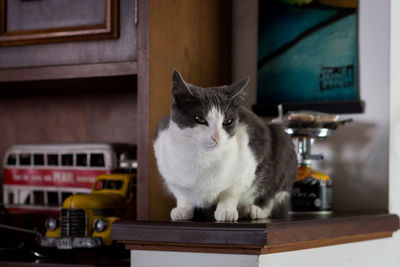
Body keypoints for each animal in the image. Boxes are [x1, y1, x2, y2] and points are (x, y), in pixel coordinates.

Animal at [153, 69, 296, 222]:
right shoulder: (169, 174)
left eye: (227, 122)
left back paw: (254, 210)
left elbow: (230, 192)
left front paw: (226, 211)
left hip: (284, 141)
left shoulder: (247, 165)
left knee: (274, 199)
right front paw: (182, 209)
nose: (216, 137)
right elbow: (182, 195)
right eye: (199, 119)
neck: (203, 158)